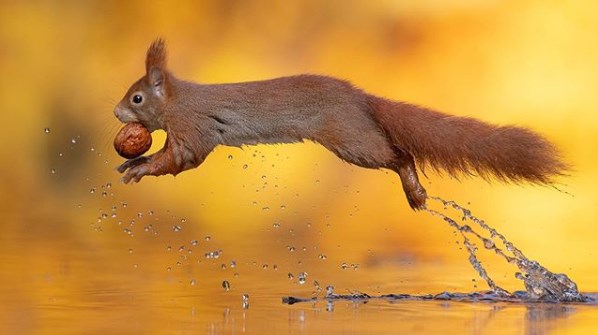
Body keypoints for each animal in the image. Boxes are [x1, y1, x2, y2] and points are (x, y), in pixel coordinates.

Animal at [115, 39, 568, 211]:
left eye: (136, 98)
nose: (117, 112)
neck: (178, 100)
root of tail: (361, 99)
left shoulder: (193, 128)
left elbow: (181, 159)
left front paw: (140, 167)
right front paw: (129, 163)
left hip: (352, 140)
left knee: (400, 155)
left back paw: (415, 191)